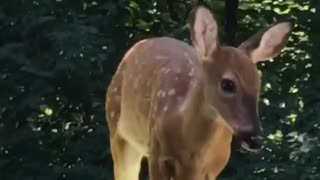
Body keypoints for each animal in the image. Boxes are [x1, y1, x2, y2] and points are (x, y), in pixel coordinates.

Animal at [105, 5, 292, 180]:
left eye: (259, 83)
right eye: (228, 84)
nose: (255, 139)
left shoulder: (214, 167)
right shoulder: (157, 153)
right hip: (118, 131)